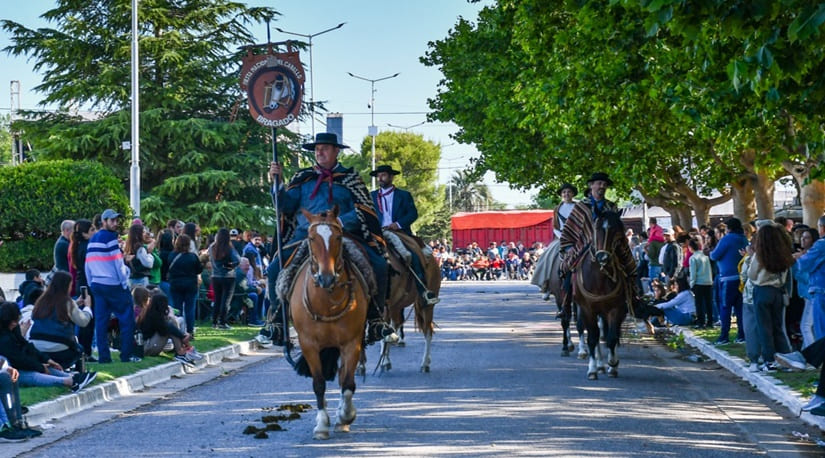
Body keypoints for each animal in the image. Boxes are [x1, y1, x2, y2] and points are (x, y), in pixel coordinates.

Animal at [290, 206, 366, 438]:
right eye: (311, 238)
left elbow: (348, 383)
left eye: (338, 237)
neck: (326, 302)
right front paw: (322, 425)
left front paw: (345, 416)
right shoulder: (308, 344)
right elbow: (319, 384)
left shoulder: (352, 342)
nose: (326, 278)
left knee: (343, 378)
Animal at [572, 211, 632, 380]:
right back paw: (598, 364)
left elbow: (612, 337)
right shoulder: (587, 309)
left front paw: (613, 364)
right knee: (594, 332)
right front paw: (592, 369)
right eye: (596, 228)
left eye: (616, 229)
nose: (603, 258)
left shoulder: (616, 309)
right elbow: (592, 338)